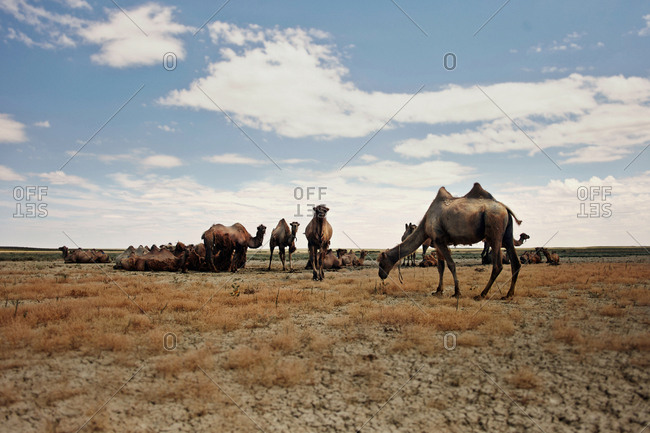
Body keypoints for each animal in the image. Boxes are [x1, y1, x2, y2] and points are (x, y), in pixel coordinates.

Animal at [378, 183, 522, 299]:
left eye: (382, 263)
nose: (381, 275)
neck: (426, 222)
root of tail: (506, 209)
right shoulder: (437, 242)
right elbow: (440, 267)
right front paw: (438, 291)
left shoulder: (440, 239)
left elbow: (451, 264)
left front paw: (457, 292)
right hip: (507, 235)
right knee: (516, 262)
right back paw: (508, 294)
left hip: (494, 232)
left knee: (498, 265)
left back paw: (482, 294)